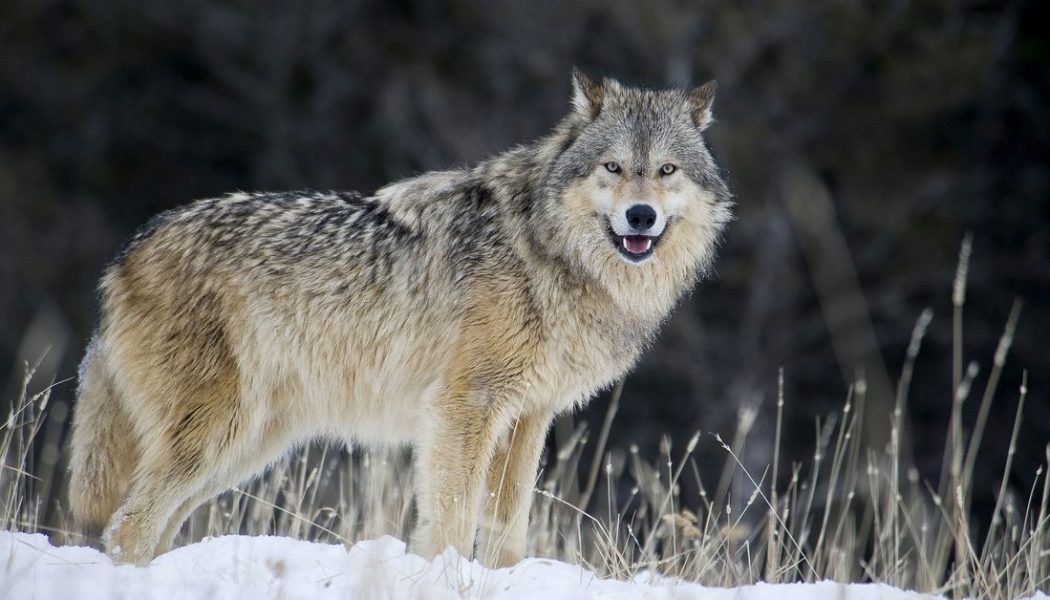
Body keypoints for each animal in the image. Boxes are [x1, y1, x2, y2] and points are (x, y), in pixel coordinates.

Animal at [67, 69, 732, 567]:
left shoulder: (528, 417)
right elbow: (452, 520)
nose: (641, 216)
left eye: (666, 170)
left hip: (245, 446)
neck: (546, 251)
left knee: (150, 527)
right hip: (217, 435)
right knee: (127, 526)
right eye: (614, 168)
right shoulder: (464, 408)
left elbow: (508, 529)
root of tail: (124, 254)